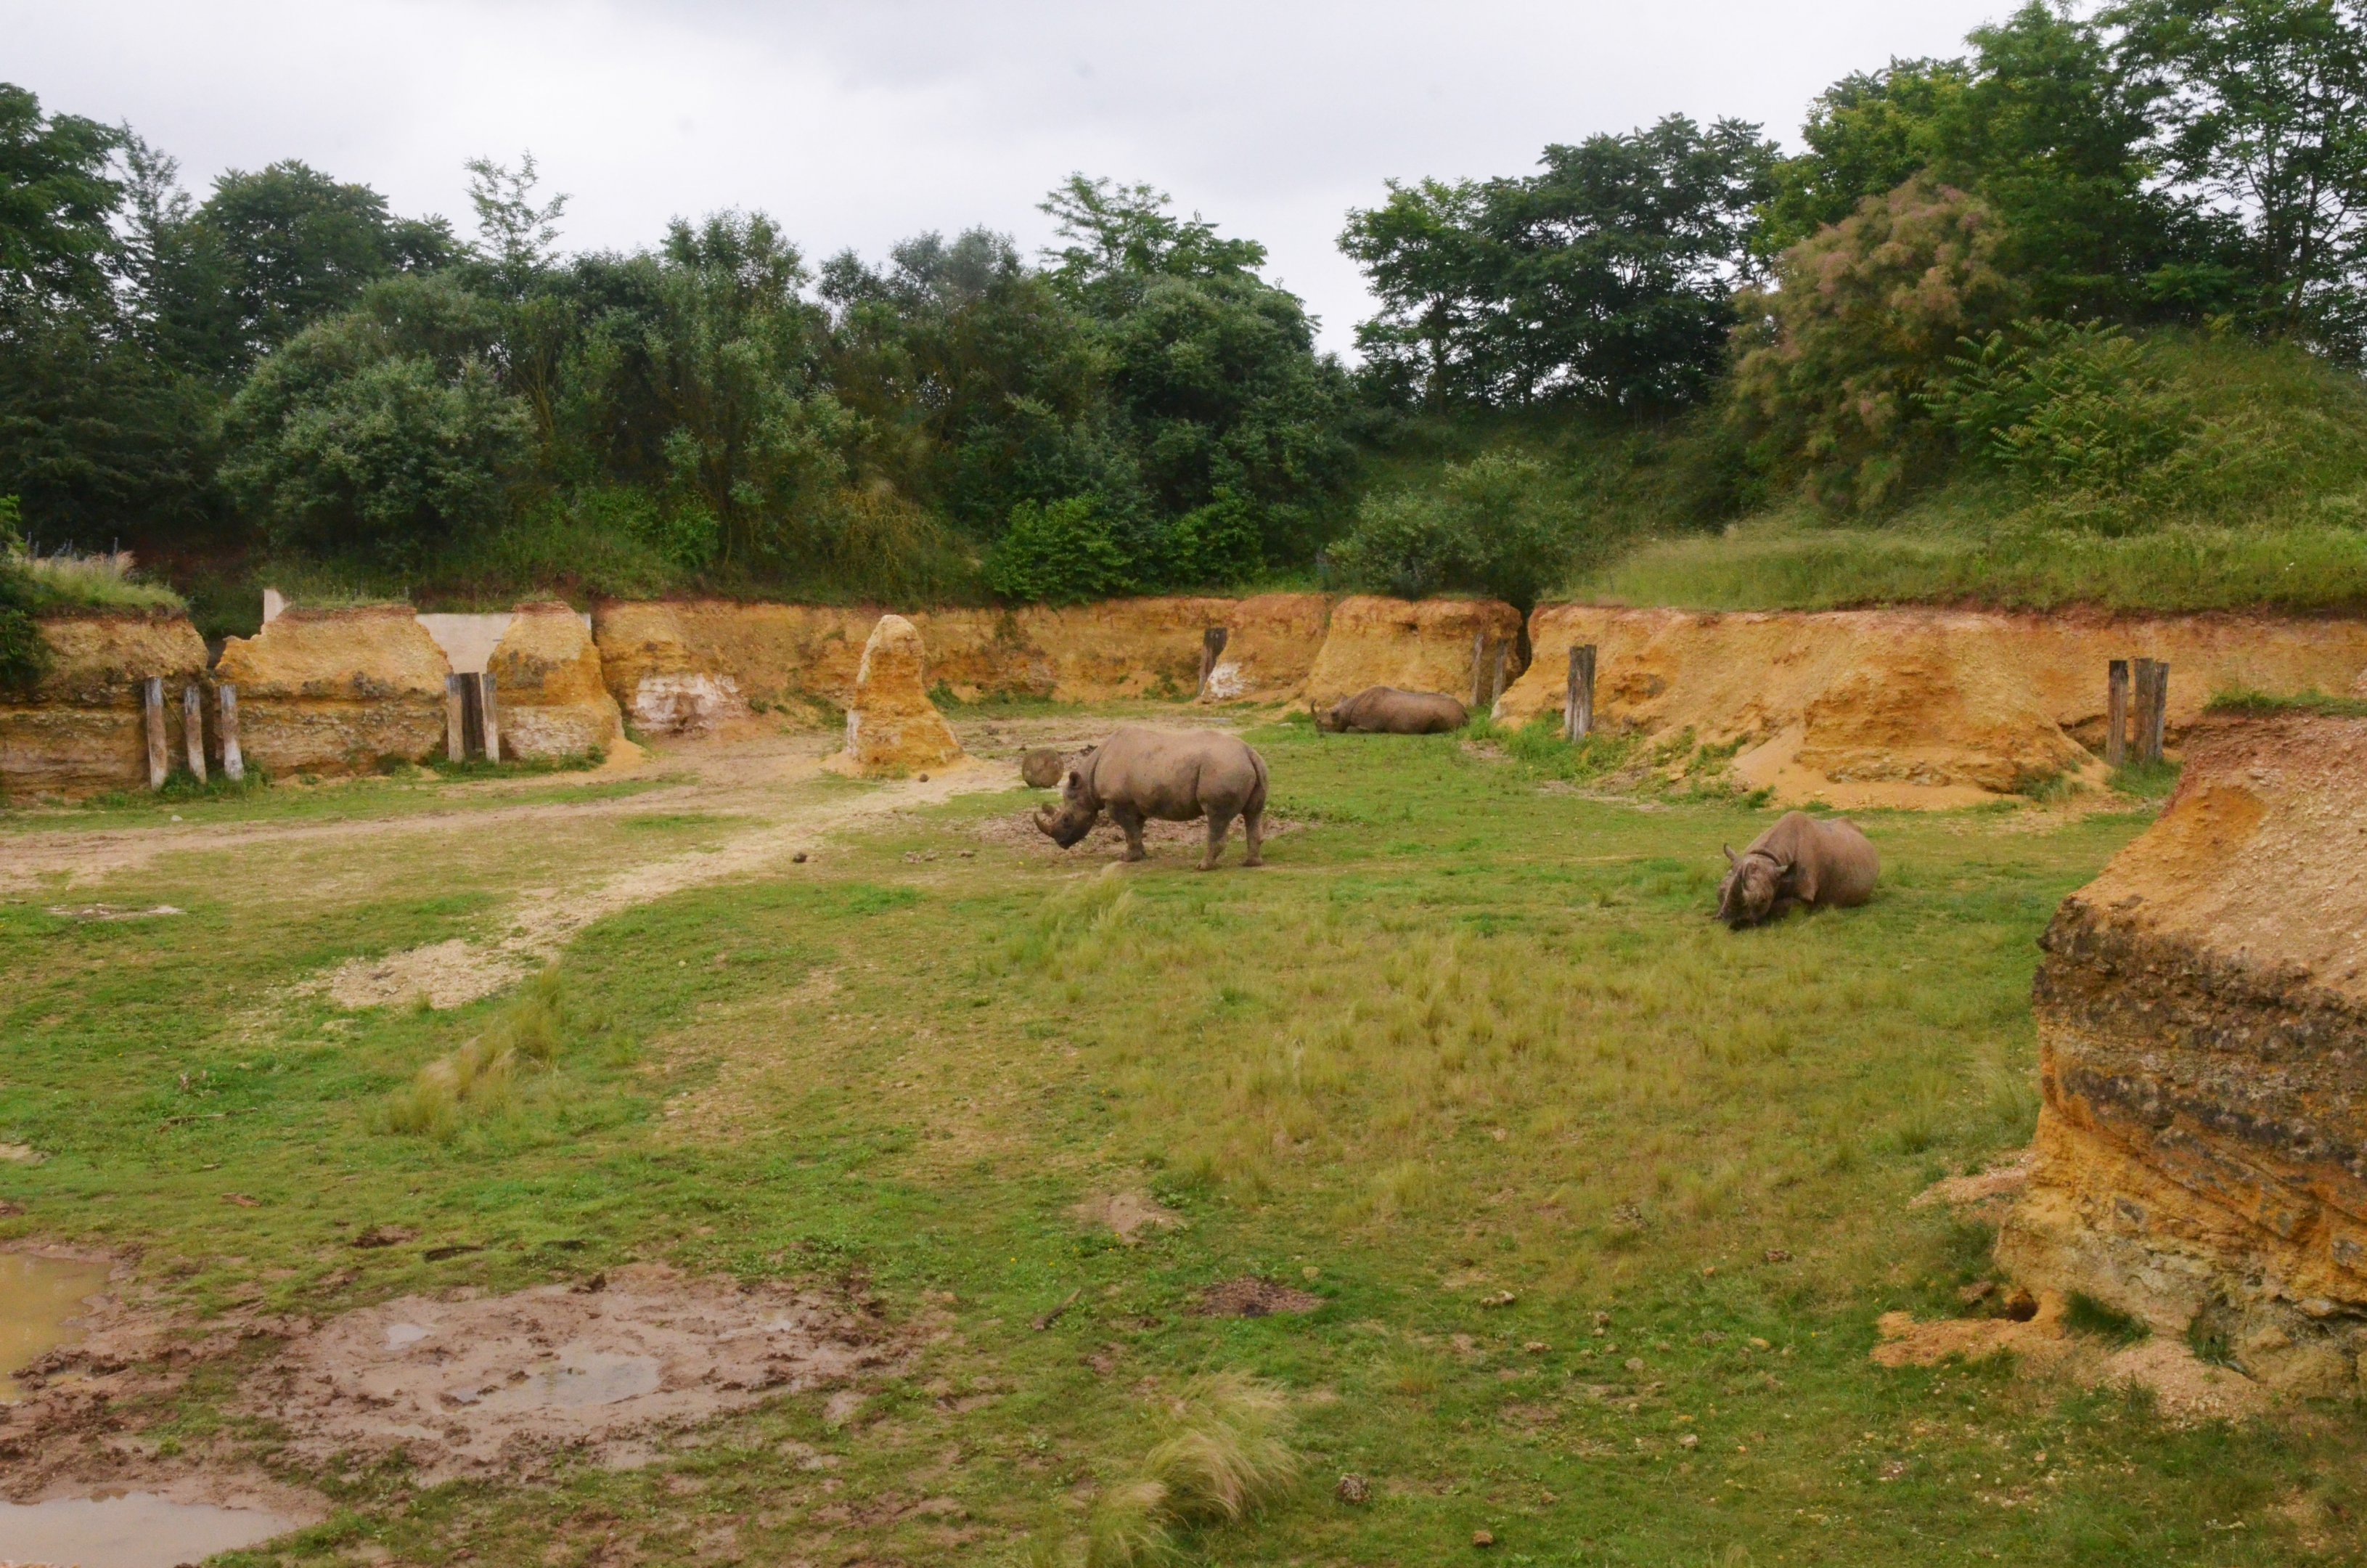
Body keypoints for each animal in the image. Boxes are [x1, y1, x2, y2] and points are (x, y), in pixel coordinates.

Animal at [1034, 726, 1269, 870]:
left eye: (1067, 819)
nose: (1061, 843)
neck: (1087, 783)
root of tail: (1249, 752)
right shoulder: (1134, 803)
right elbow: (1135, 831)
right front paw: (1141, 855)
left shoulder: (1117, 802)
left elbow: (1129, 831)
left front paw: (1127, 859)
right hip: (1246, 767)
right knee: (1253, 813)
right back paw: (1251, 863)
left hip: (1222, 768)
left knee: (1216, 816)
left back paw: (1203, 867)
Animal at [1317, 686, 1469, 734]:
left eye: (1333, 717)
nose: (1318, 730)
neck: (1347, 708)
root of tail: (1463, 710)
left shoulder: (1368, 727)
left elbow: (1350, 729)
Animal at [1717, 811, 1880, 928]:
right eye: (1719, 892)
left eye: (1763, 900)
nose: (1730, 922)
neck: (1768, 858)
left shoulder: (1804, 895)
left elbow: (1777, 907)